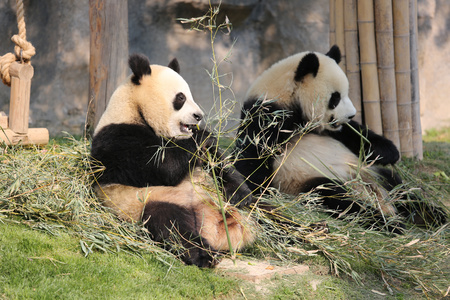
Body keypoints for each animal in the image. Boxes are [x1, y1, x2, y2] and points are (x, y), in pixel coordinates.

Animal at [89, 54, 255, 268]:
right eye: (181, 97)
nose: (199, 116)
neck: (135, 109)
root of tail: (219, 227)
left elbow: (217, 163)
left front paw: (240, 193)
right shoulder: (117, 139)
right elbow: (164, 167)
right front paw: (204, 134)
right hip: (149, 202)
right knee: (171, 225)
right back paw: (205, 256)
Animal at [236, 45, 446, 232]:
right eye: (335, 98)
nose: (352, 114)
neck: (287, 98)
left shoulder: (329, 128)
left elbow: (355, 135)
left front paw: (389, 152)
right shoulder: (265, 118)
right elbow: (252, 161)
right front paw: (256, 194)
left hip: (372, 173)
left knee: (398, 187)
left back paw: (430, 216)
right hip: (308, 181)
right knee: (338, 198)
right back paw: (387, 222)